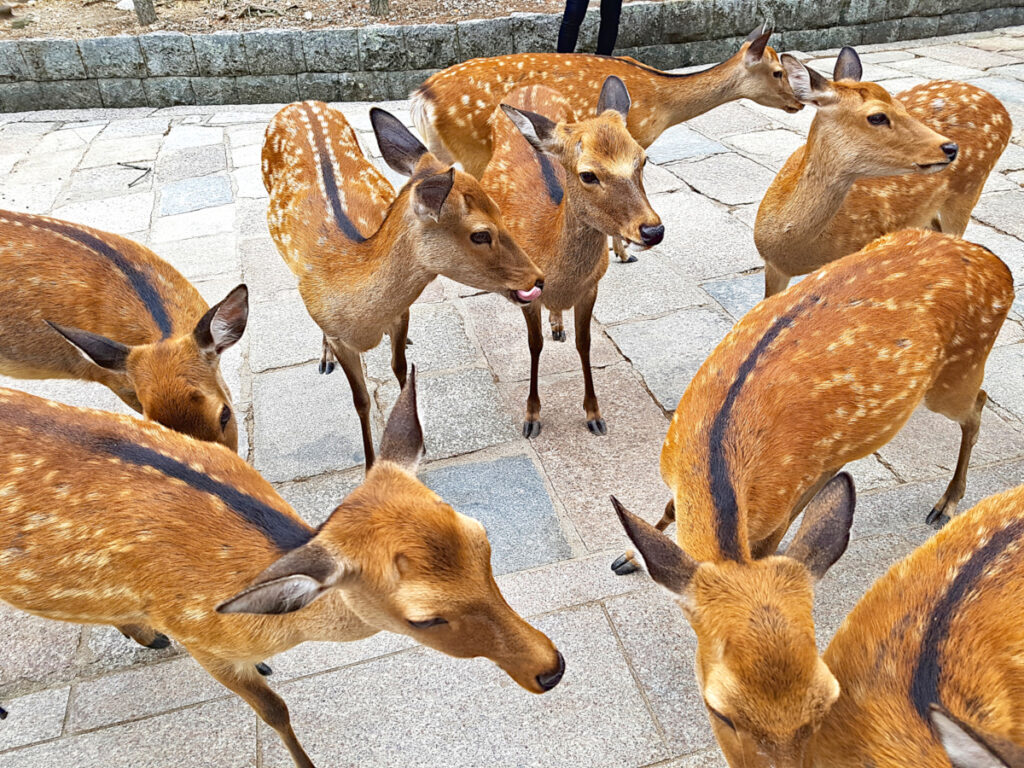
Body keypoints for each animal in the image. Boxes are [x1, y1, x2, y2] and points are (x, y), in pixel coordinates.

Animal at [263, 101, 545, 470]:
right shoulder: (340, 336)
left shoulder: (401, 314)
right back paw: (324, 358)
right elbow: (361, 400)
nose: (537, 278)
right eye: (480, 234)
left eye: (500, 210)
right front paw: (371, 463)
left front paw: (414, 442)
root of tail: (300, 104)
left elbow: (399, 371)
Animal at [412, 23, 802, 263]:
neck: (662, 104)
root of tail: (421, 96)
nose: (798, 103)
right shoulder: (636, 134)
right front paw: (625, 251)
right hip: (474, 151)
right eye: (777, 72)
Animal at [483, 76, 663, 437]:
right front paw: (532, 417)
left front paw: (595, 414)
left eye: (643, 160)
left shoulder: (591, 286)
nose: (653, 230)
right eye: (588, 174)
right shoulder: (528, 292)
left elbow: (585, 343)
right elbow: (534, 345)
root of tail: (529, 86)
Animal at [608, 229, 1014, 766]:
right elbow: (668, 513)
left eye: (827, 700)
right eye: (719, 710)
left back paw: (946, 503)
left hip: (954, 376)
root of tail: (999, 265)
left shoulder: (781, 505)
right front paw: (627, 557)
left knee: (979, 405)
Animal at [755, 46, 1012, 298]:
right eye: (877, 117)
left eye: (901, 107)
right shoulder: (773, 266)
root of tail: (1002, 109)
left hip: (968, 188)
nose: (950, 147)